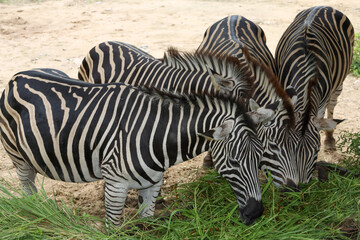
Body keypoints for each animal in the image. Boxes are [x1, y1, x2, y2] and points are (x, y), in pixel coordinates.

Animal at [0, 68, 278, 226]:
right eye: (233, 162)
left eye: (260, 159)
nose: (255, 213)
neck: (158, 137)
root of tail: (17, 76)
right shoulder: (115, 185)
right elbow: (113, 228)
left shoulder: (152, 184)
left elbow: (147, 222)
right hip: (18, 157)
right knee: (27, 186)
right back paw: (35, 214)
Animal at [276, 6, 354, 183]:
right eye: (288, 148)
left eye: (316, 150)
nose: (302, 185)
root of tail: (324, 7)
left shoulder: (320, 101)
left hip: (340, 81)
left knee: (332, 107)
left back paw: (330, 141)